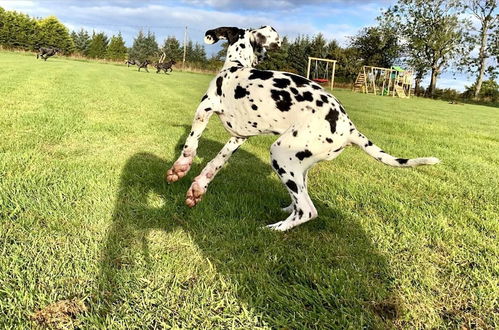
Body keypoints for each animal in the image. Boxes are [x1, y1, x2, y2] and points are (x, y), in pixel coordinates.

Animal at [166, 25, 440, 231]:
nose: (265, 55)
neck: (237, 67)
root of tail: (349, 127)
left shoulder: (205, 108)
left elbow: (191, 142)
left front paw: (180, 167)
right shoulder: (238, 137)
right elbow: (216, 162)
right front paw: (198, 187)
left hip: (279, 154)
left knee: (307, 210)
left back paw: (275, 229)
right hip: (298, 162)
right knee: (300, 199)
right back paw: (286, 209)